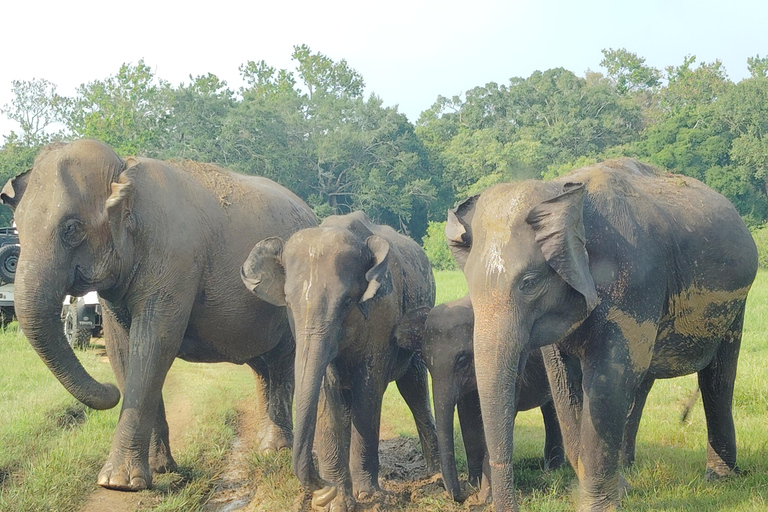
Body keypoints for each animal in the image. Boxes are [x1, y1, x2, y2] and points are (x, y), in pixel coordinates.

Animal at [1, 139, 317, 491]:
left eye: (72, 228)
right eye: (18, 228)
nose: (109, 391)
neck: (123, 171)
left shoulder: (174, 260)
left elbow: (154, 343)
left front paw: (119, 482)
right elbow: (122, 349)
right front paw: (158, 469)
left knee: (281, 361)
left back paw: (276, 451)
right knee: (262, 366)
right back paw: (266, 447)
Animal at [241, 211, 440, 512]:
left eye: (347, 302)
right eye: (288, 303)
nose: (321, 488)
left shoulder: (382, 314)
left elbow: (368, 392)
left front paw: (368, 497)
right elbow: (327, 394)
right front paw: (334, 502)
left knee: (414, 386)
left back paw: (436, 475)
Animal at [423, 294, 565, 502]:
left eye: (462, 359)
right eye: (424, 361)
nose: (461, 495)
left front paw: (484, 498)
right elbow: (469, 417)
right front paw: (473, 486)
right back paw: (552, 468)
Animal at [445, 158, 758, 512]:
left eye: (529, 283)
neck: (559, 191)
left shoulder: (634, 280)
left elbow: (607, 383)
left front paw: (599, 506)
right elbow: (565, 386)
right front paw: (619, 493)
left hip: (736, 302)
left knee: (717, 378)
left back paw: (719, 478)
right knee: (641, 380)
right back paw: (629, 472)